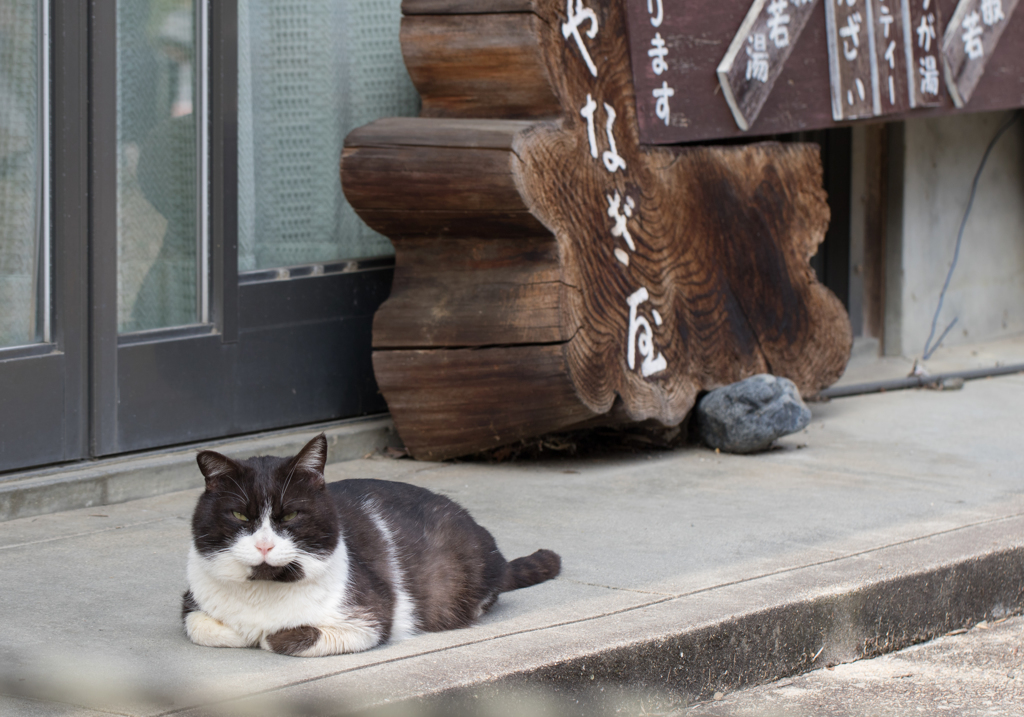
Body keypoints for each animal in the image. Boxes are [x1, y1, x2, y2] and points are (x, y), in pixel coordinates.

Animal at [180, 434, 557, 659]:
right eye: (239, 515)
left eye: (290, 515)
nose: (263, 546)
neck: (263, 593)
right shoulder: (191, 602)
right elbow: (200, 626)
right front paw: (243, 632)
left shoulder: (370, 618)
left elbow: (278, 638)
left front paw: (263, 636)